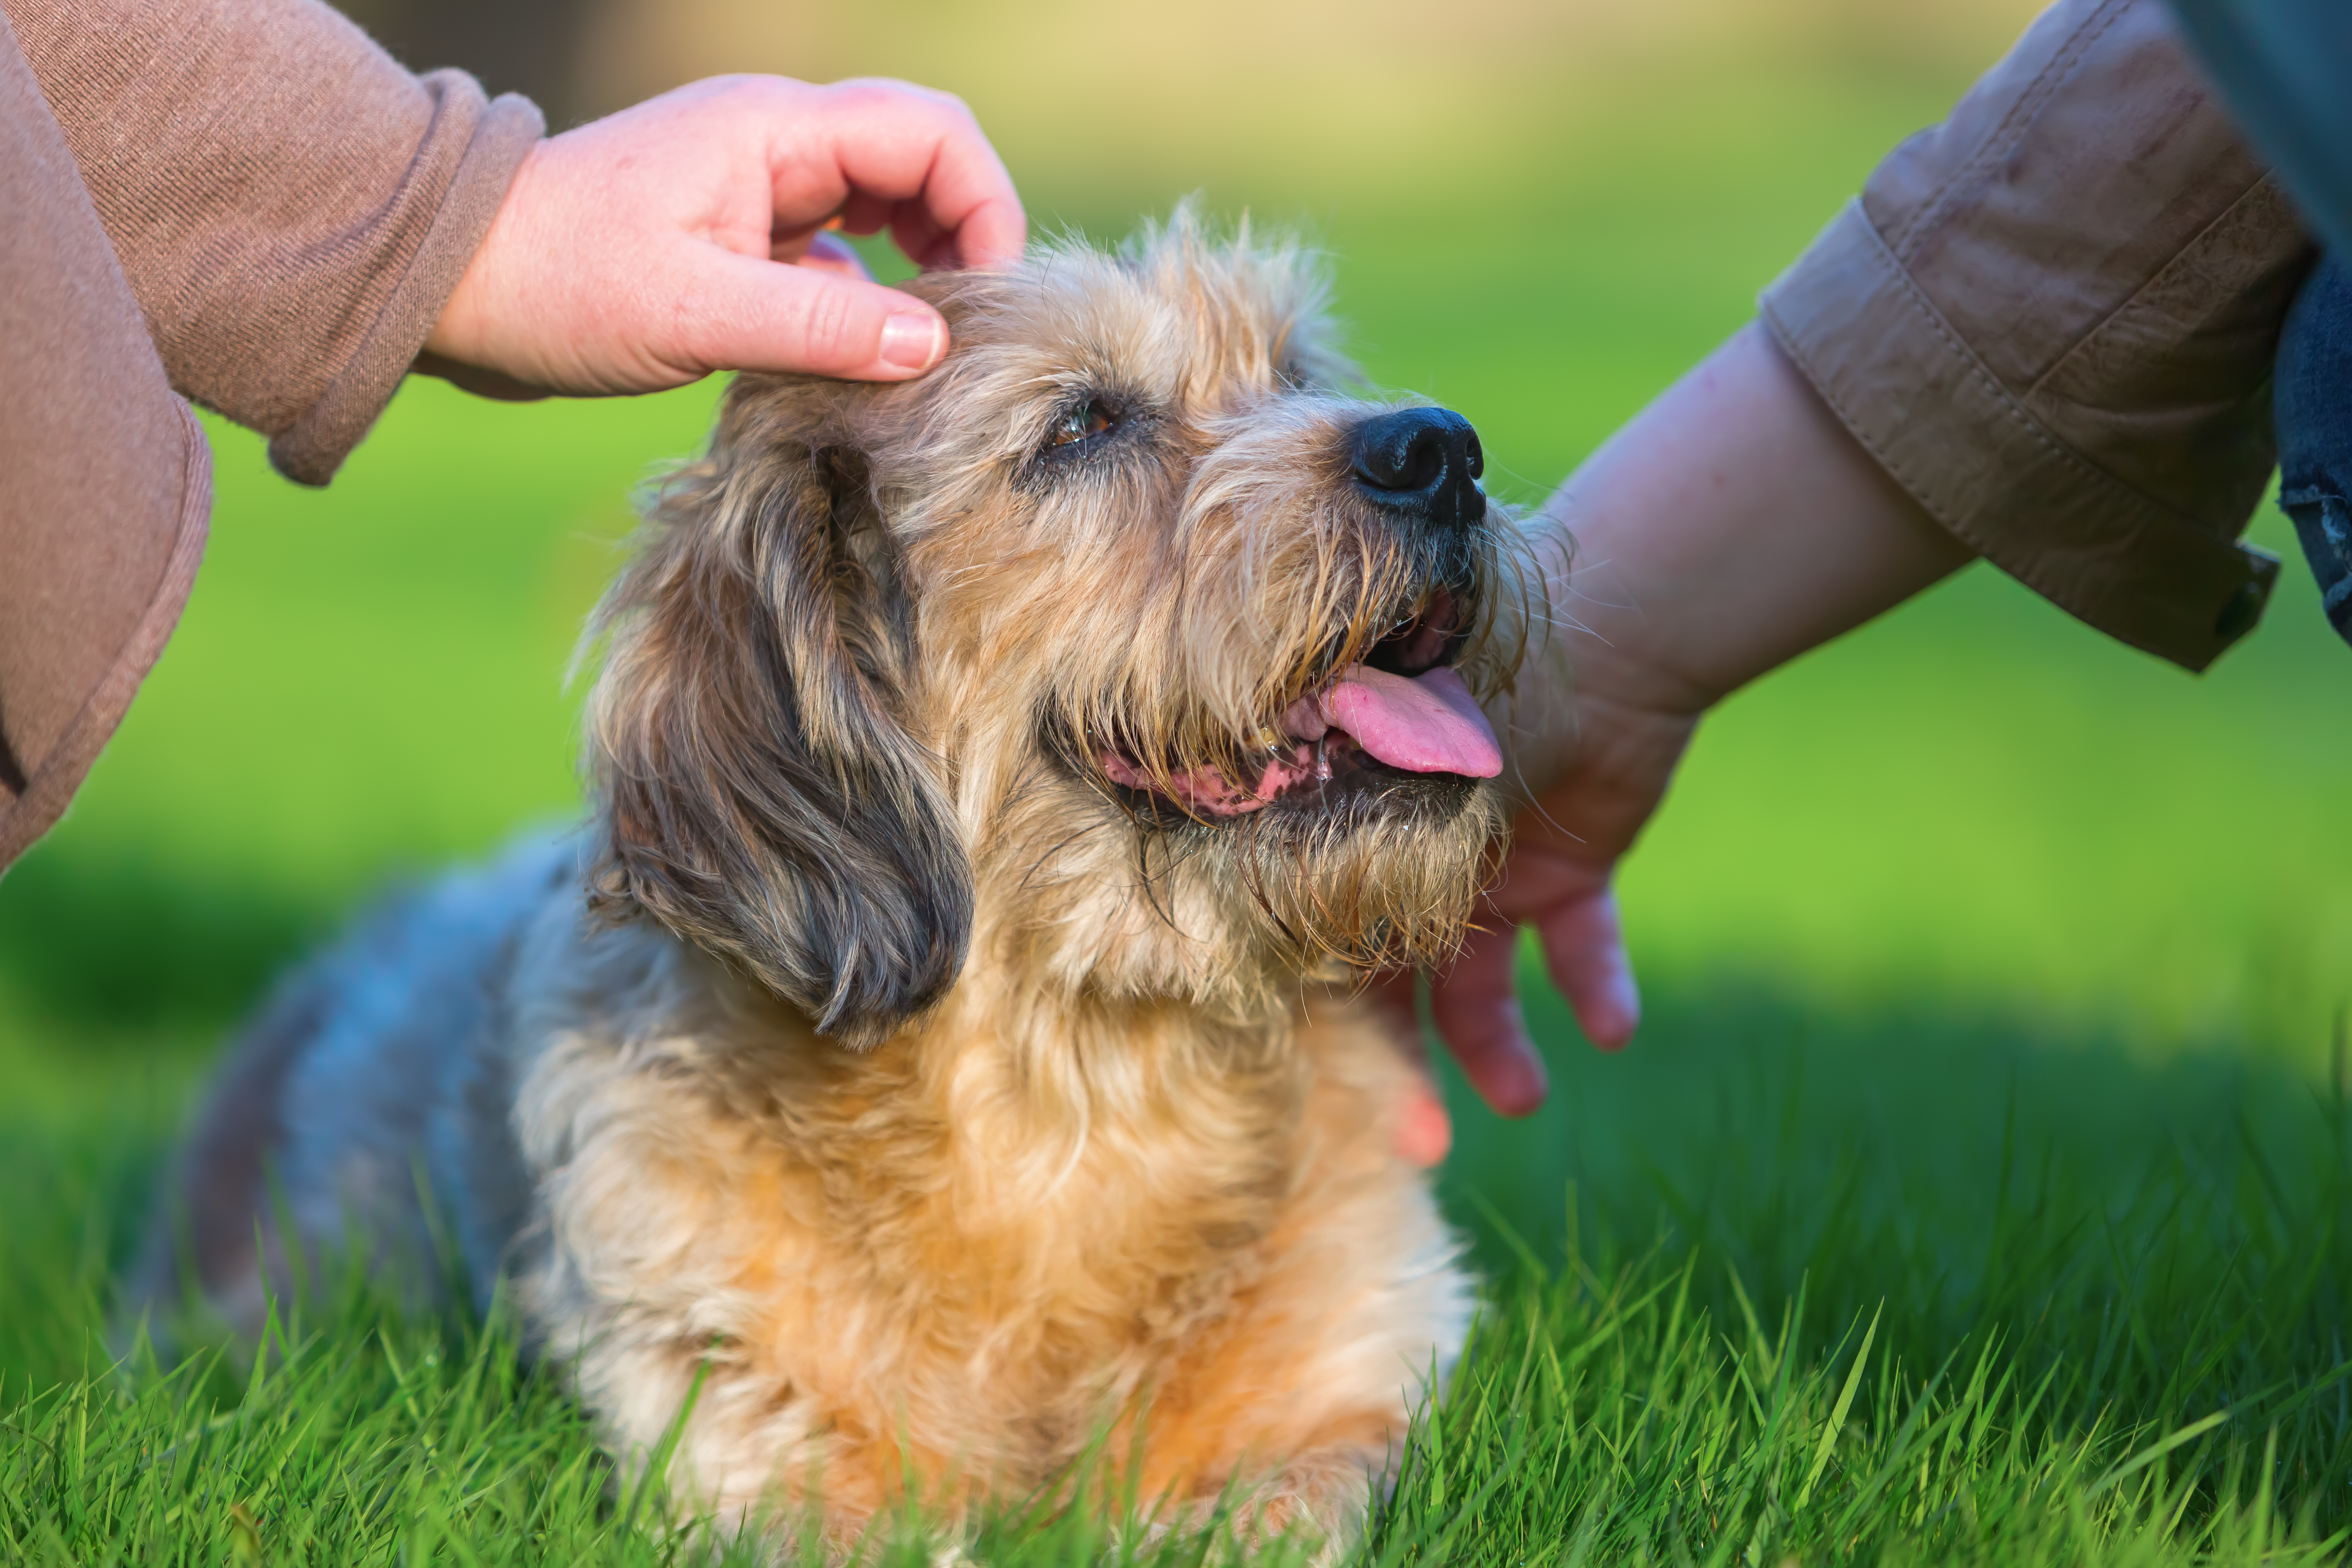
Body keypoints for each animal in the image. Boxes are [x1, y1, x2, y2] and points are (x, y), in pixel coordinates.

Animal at [137, 212, 1552, 1561]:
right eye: (1082, 425)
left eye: (1296, 374)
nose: (1444, 451)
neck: (1070, 1097)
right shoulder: (732, 1420)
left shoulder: (1344, 1393)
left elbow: (1278, 1507)